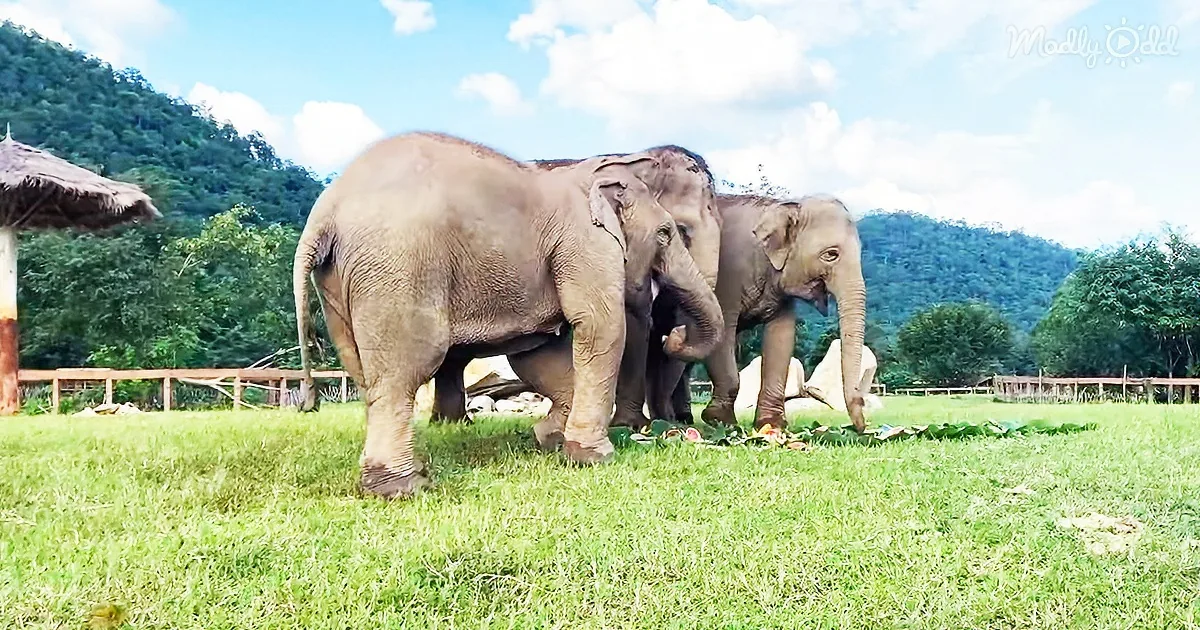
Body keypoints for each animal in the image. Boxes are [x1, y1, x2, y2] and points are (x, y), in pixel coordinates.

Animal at [639, 193, 868, 432]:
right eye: (831, 254)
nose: (860, 427)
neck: (780, 208)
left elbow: (782, 338)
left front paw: (771, 424)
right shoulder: (727, 274)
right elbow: (725, 333)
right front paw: (720, 421)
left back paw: (682, 418)